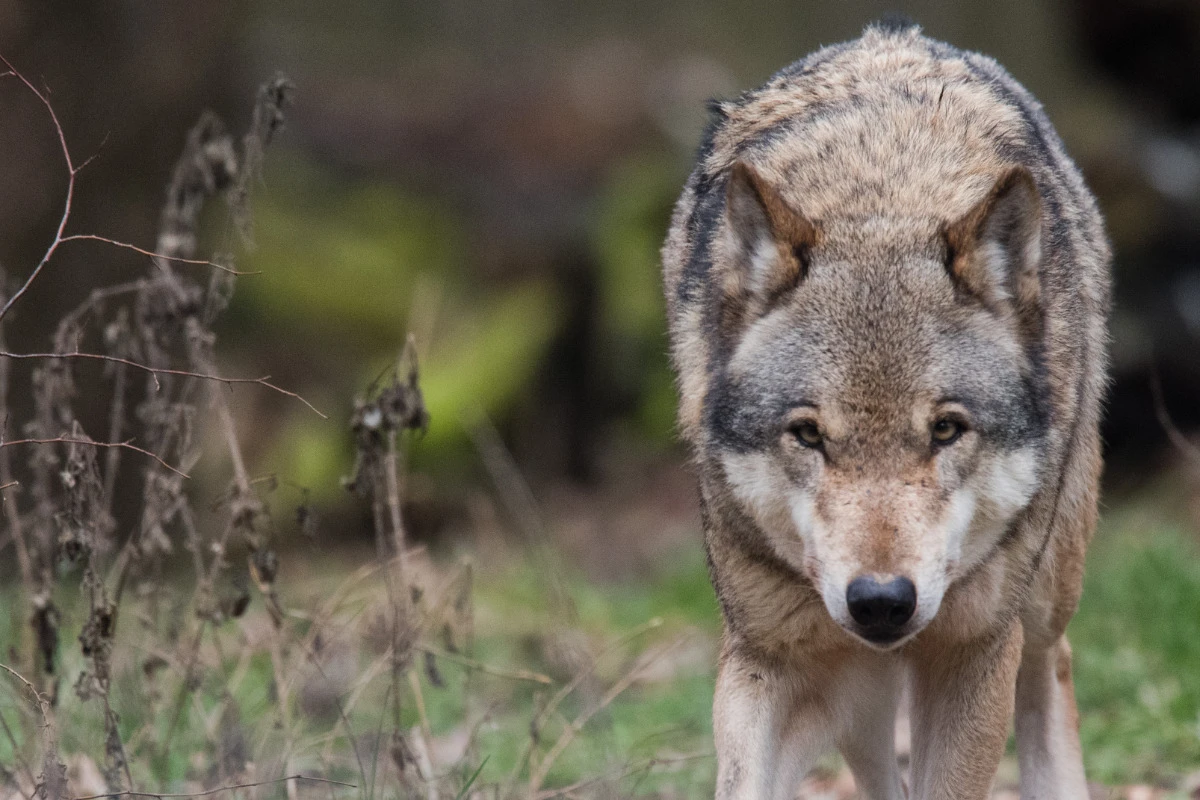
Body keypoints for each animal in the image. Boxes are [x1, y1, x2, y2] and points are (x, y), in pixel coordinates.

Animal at [661, 21, 1110, 800]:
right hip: (854, 685)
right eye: (808, 435)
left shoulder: (973, 653)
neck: (881, 199)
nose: (880, 601)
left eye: (947, 430)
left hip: (1042, 593)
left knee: (1052, 668)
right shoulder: (769, 656)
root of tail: (900, 33)